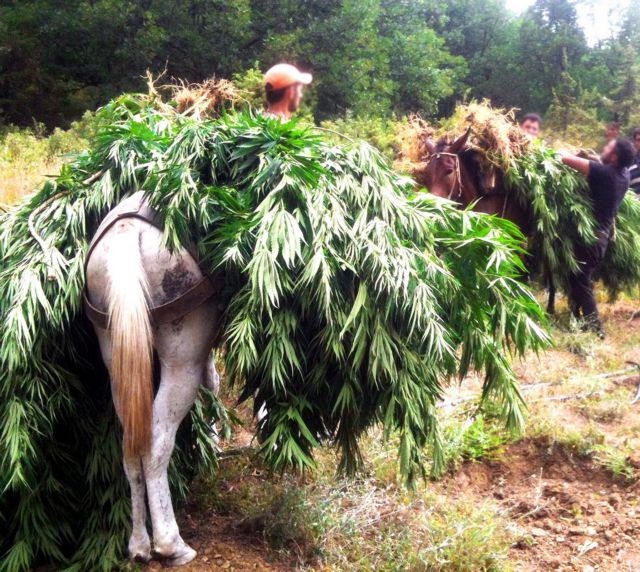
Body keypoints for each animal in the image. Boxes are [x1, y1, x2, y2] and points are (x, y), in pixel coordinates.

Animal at [85, 191, 221, 564]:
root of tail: (128, 233)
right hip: (182, 356)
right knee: (157, 443)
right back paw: (171, 544)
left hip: (116, 353)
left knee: (131, 446)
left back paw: (139, 545)